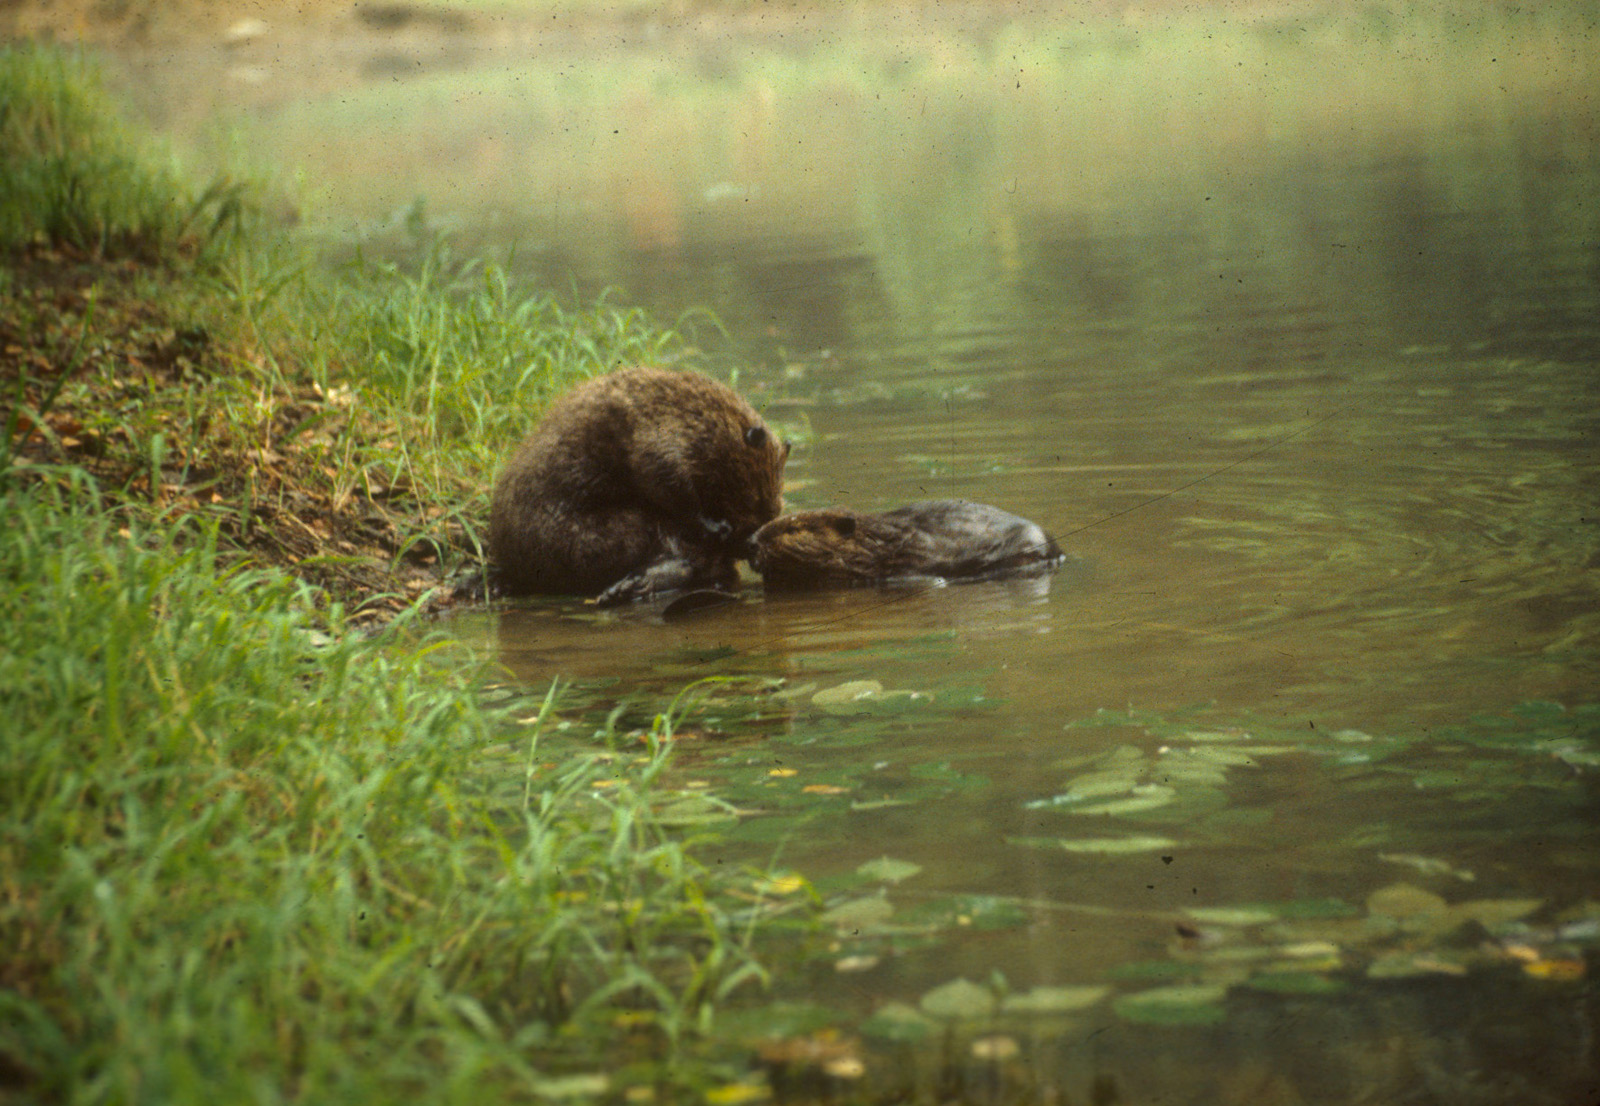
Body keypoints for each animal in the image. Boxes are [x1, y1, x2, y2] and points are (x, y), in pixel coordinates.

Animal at [486, 368, 787, 605]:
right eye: (758, 501)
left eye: (774, 509)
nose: (750, 548)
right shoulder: (658, 435)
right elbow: (663, 479)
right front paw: (716, 526)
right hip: (592, 535)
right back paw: (624, 587)